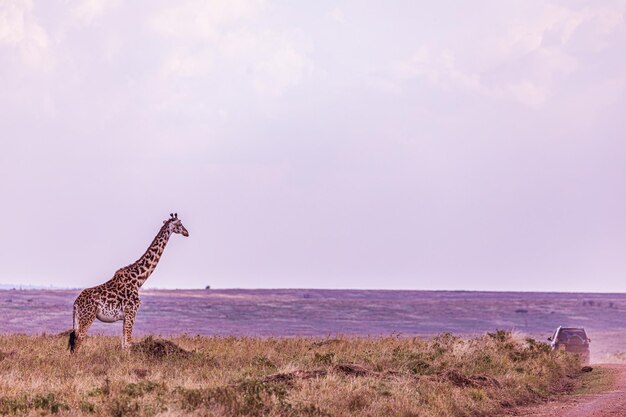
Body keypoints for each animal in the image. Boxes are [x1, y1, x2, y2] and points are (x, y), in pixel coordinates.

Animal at [68, 213, 189, 352]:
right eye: (179, 223)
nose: (187, 232)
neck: (138, 280)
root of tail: (76, 303)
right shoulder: (132, 312)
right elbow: (128, 344)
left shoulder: (126, 316)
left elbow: (124, 344)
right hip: (87, 317)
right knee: (78, 341)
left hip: (78, 320)